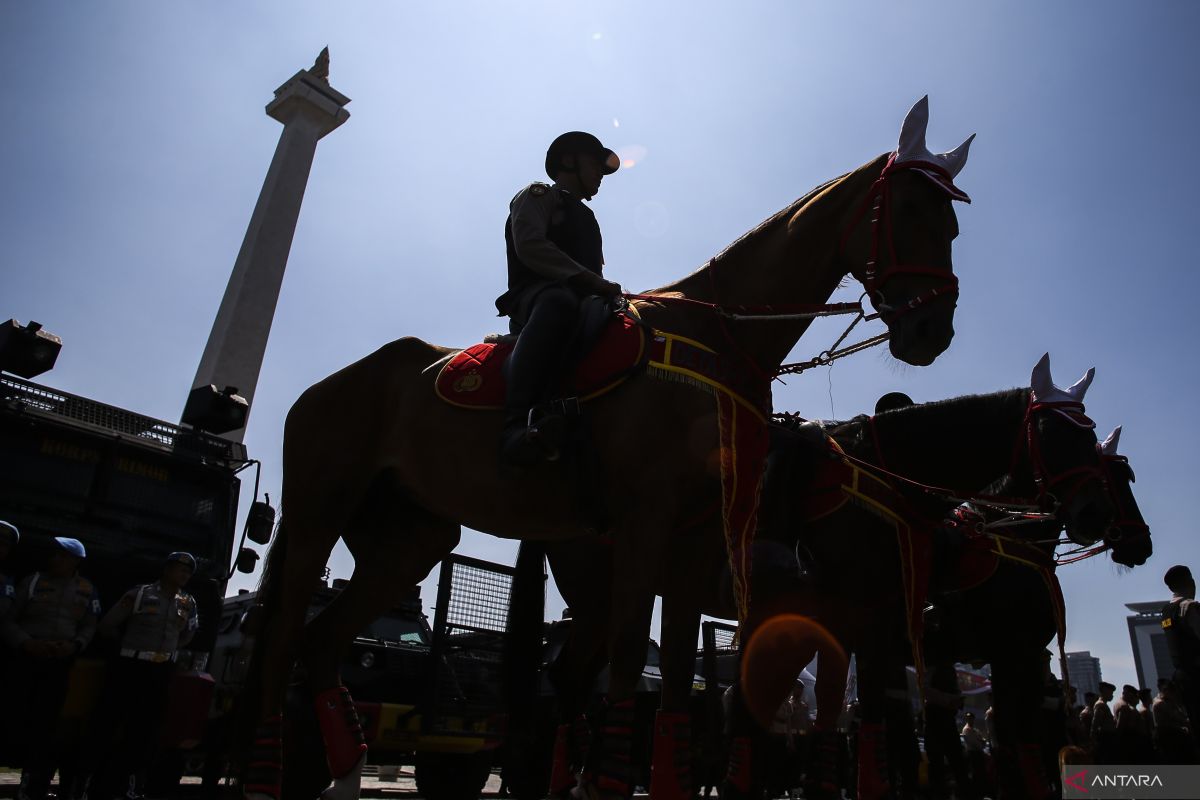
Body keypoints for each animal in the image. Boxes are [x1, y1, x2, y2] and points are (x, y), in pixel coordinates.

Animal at [243, 95, 974, 800]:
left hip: (409, 541)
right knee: (281, 644)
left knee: (322, 641)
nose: (933, 330)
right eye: (909, 209)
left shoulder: (696, 542)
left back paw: (342, 771)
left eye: (953, 225)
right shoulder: (646, 526)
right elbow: (629, 673)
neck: (718, 336)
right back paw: (270, 774)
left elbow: (675, 679)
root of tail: (333, 383)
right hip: (320, 515)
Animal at [530, 357, 1128, 800]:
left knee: (578, 679)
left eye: (1093, 437)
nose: (1098, 515)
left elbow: (857, 712)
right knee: (573, 680)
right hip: (603, 597)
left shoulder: (867, 625)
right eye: (1053, 430)